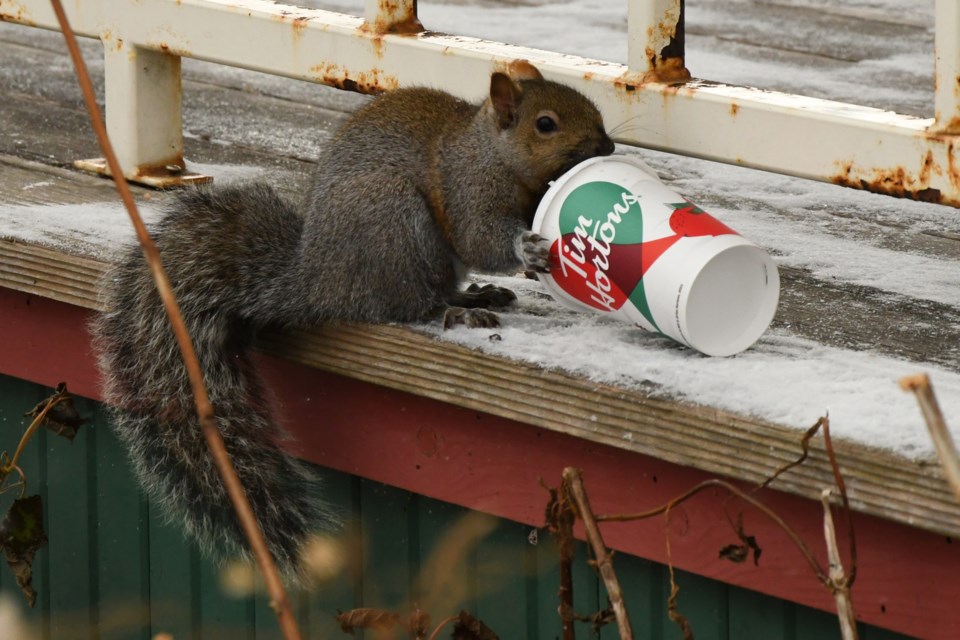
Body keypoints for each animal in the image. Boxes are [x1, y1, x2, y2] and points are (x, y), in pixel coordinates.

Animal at [92, 60, 616, 576]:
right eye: (545, 124)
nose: (608, 147)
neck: (493, 152)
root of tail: (317, 280)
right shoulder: (468, 188)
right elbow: (480, 238)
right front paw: (527, 248)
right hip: (394, 222)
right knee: (409, 306)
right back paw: (453, 311)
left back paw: (474, 297)